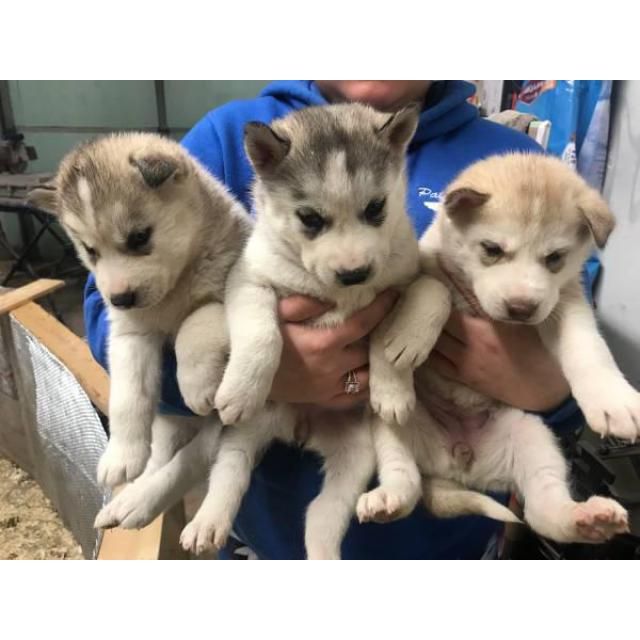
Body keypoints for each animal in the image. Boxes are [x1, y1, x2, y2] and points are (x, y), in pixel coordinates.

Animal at [28, 134, 251, 496]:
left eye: (139, 237)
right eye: (90, 250)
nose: (119, 299)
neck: (173, 292)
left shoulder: (224, 297)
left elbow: (193, 326)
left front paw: (196, 384)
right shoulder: (130, 336)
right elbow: (127, 396)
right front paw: (121, 455)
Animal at [180, 102, 450, 556]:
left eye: (375, 208)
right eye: (309, 217)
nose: (354, 274)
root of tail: (300, 431)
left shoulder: (405, 274)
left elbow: (432, 290)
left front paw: (394, 381)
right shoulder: (250, 279)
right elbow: (263, 334)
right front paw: (243, 387)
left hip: (355, 457)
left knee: (322, 513)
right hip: (245, 431)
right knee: (230, 470)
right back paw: (208, 521)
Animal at [360, 152, 636, 544]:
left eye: (555, 258)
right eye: (491, 250)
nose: (521, 308)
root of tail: (459, 465)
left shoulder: (564, 302)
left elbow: (588, 346)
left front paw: (613, 400)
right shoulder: (420, 269)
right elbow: (433, 287)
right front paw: (407, 337)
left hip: (532, 437)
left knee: (542, 510)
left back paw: (587, 519)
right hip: (388, 428)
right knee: (405, 478)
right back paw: (388, 499)